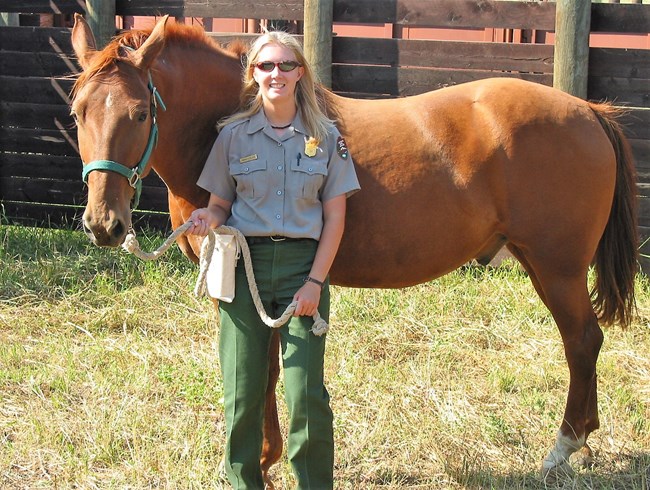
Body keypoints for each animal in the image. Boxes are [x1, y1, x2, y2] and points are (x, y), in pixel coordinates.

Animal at [68, 14, 636, 482]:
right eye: (77, 112)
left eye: (141, 113)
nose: (104, 224)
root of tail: (588, 110)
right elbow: (264, 367)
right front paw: (267, 457)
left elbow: (265, 370)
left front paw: (264, 460)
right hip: (542, 265)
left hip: (558, 269)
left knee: (582, 341)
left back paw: (562, 448)